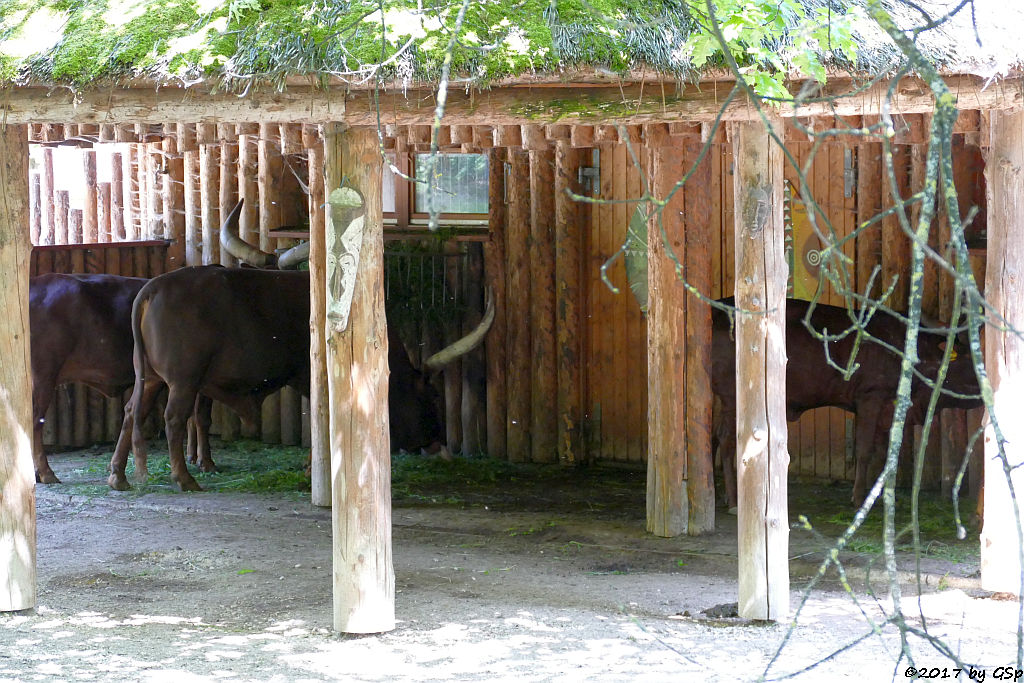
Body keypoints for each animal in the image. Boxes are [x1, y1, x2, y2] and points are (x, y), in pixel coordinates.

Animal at [712, 296, 983, 507]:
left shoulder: (889, 409)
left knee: (714, 437)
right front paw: (859, 497)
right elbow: (864, 449)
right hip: (733, 398)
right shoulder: (871, 397)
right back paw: (734, 500)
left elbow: (886, 451)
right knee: (727, 440)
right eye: (968, 357)